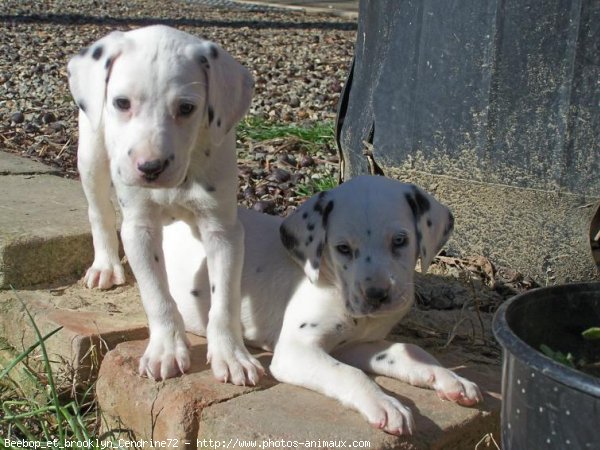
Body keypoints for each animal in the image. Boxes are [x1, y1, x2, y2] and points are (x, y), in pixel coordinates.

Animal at [67, 24, 262, 384]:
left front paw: (232, 355)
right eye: (122, 103)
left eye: (186, 108)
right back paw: (105, 265)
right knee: (99, 212)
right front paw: (167, 349)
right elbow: (157, 295)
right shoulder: (139, 229)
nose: (150, 167)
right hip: (91, 155)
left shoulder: (223, 232)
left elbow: (224, 300)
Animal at [164, 174, 482, 434]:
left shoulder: (358, 345)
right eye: (343, 248)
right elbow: (349, 373)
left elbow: (409, 351)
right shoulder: (296, 350)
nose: (376, 295)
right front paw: (385, 404)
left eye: (400, 240)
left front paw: (450, 378)